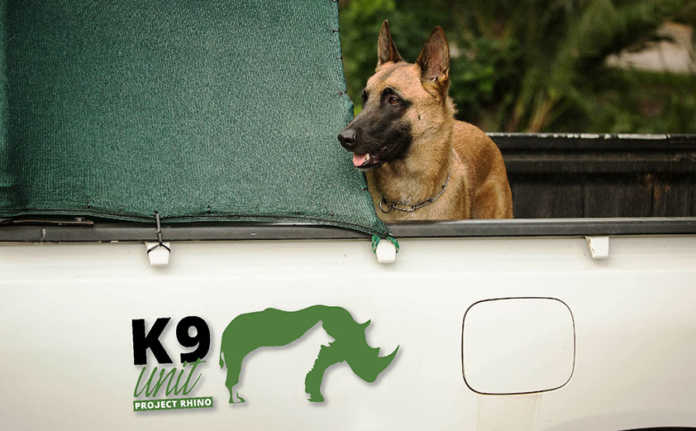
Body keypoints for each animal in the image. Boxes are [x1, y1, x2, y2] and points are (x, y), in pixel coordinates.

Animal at [219, 305, 399, 403]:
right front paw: (318, 398)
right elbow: (317, 372)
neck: (349, 336)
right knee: (236, 364)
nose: (372, 379)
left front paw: (312, 395)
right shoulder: (324, 351)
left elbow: (317, 372)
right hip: (236, 340)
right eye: (364, 358)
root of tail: (226, 329)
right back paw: (237, 401)